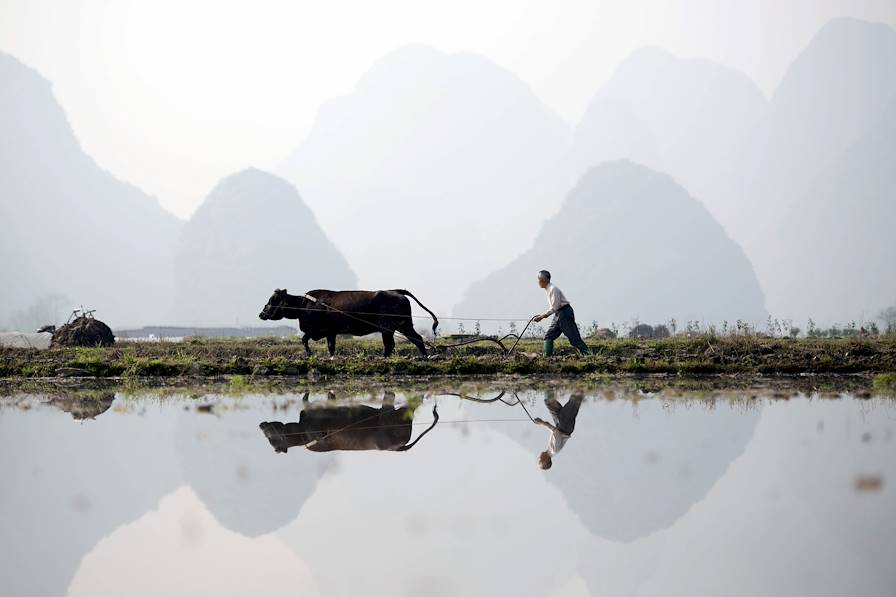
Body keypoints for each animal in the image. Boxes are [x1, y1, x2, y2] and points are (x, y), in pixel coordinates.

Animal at [258, 288, 440, 356]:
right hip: (403, 325)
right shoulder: (330, 332)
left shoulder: (313, 328)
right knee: (417, 339)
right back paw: (424, 357)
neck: (303, 305)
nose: (261, 314)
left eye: (272, 300)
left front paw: (309, 354)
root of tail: (396, 291)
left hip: (387, 327)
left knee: (390, 345)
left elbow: (303, 339)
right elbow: (331, 348)